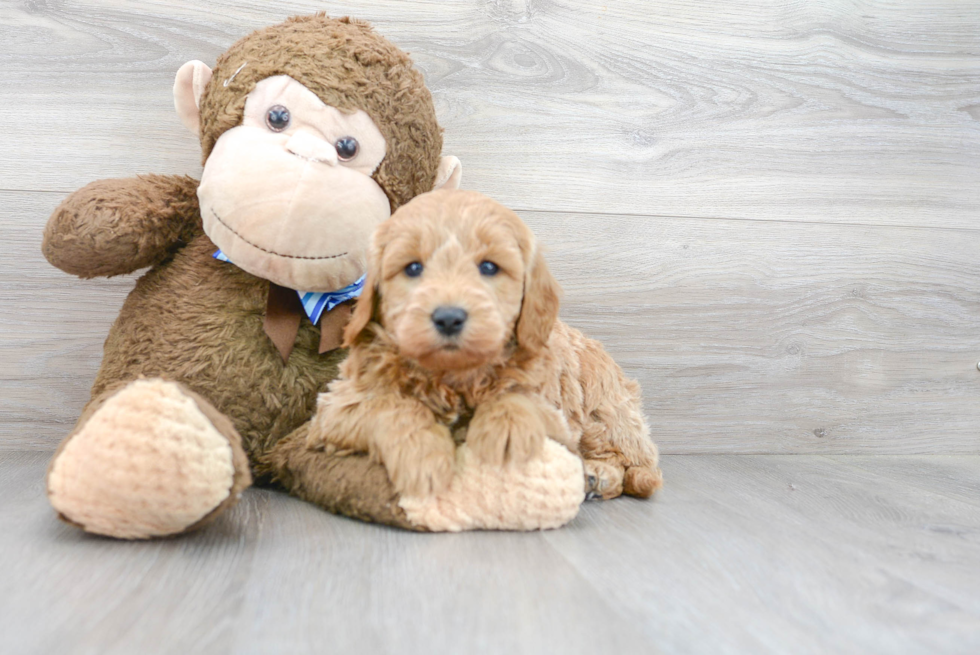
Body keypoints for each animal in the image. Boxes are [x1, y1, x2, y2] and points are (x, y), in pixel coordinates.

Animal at [310, 187, 664, 500]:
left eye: (489, 267)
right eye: (413, 267)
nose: (449, 318)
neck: (452, 376)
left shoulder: (558, 417)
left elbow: (518, 397)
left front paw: (505, 433)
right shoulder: (336, 407)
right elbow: (393, 406)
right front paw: (423, 460)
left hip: (605, 411)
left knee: (635, 465)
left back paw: (598, 476)